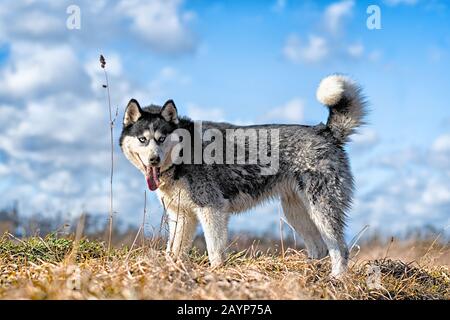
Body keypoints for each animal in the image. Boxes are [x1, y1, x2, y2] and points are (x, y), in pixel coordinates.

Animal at [119, 75, 366, 278]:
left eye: (161, 139)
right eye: (143, 139)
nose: (154, 160)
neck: (183, 154)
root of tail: (324, 131)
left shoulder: (213, 210)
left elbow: (215, 252)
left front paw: (216, 275)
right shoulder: (181, 216)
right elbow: (173, 252)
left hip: (322, 210)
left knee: (340, 249)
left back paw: (336, 279)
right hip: (296, 212)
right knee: (320, 248)